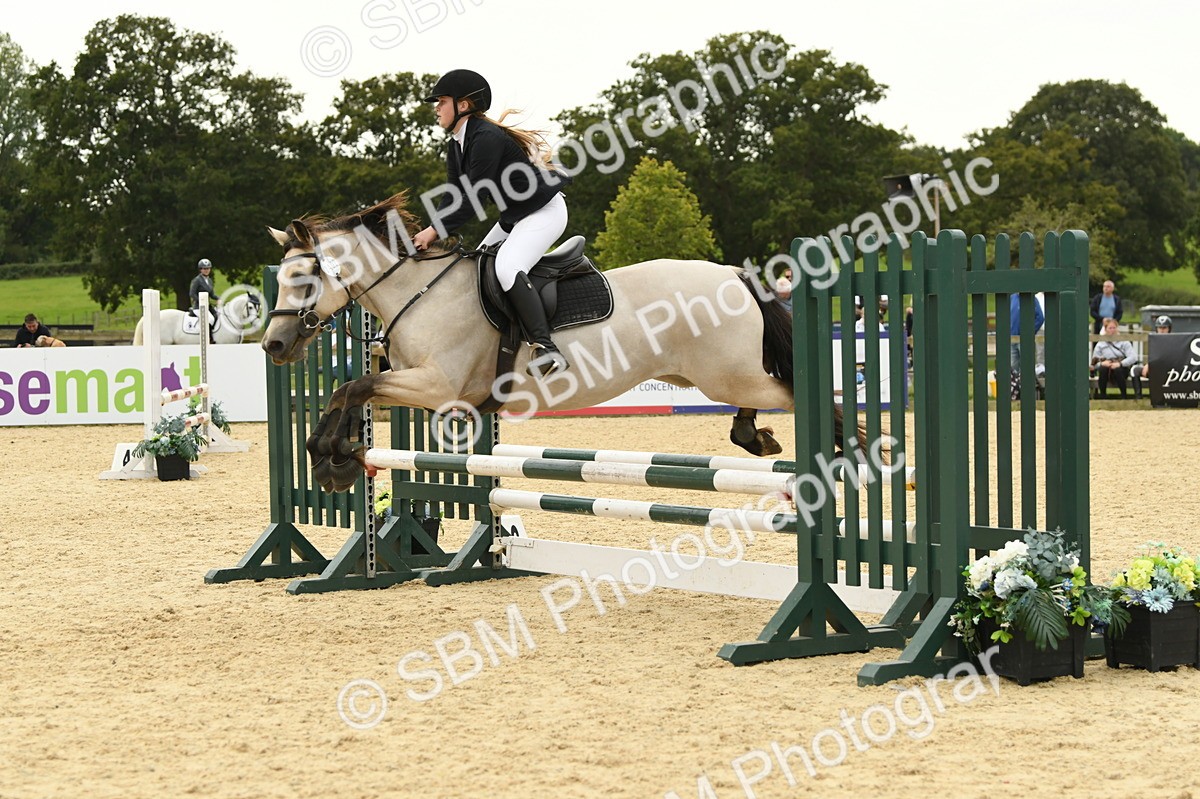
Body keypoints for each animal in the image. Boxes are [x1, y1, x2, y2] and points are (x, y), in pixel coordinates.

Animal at [261, 193, 860, 492]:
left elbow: (354, 386)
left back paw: (846, 450)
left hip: (727, 373)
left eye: (305, 278)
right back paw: (755, 437)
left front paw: (330, 458)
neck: (419, 292)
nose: (274, 346)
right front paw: (333, 458)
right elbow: (351, 390)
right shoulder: (412, 384)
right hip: (715, 374)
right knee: (767, 399)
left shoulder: (438, 387)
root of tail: (735, 275)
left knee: (797, 392)